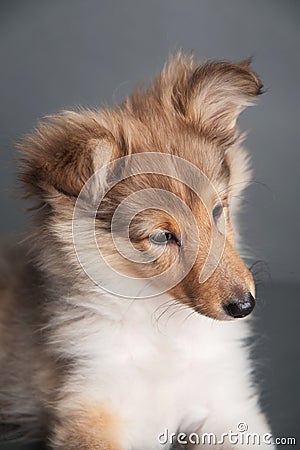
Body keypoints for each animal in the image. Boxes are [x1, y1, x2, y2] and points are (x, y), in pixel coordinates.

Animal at [0, 53, 274, 450]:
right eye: (161, 236)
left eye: (217, 210)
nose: (244, 307)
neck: (163, 328)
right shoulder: (92, 406)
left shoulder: (227, 403)